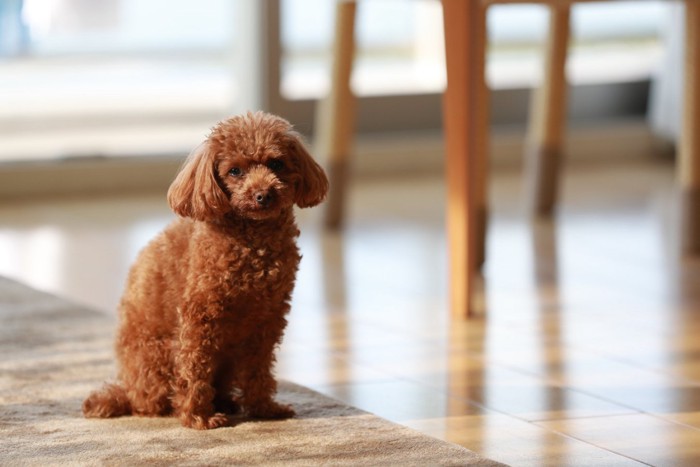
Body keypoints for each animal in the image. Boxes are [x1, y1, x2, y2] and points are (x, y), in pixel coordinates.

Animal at [83, 111, 330, 430]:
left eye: (276, 163)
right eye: (234, 171)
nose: (263, 195)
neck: (252, 242)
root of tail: (126, 390)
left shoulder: (269, 316)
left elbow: (259, 367)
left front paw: (264, 408)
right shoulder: (201, 316)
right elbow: (195, 368)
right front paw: (199, 417)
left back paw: (228, 401)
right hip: (161, 355)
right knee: (149, 403)